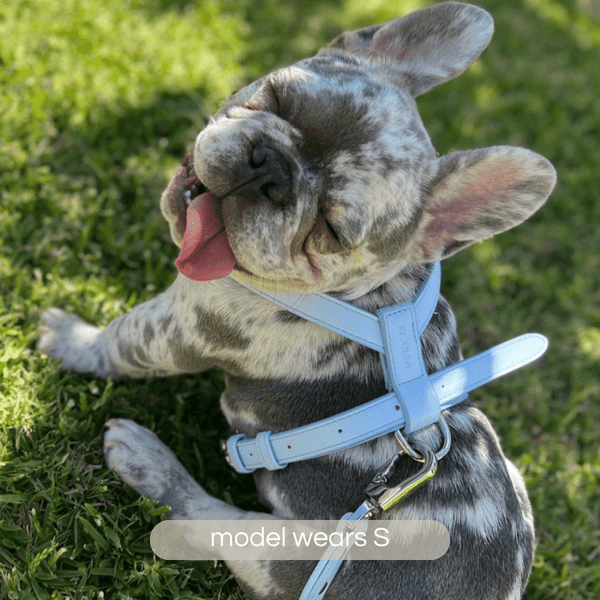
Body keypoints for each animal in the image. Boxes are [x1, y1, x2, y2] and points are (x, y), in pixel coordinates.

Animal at [38, 2, 556, 596]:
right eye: (279, 97)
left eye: (330, 229)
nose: (270, 169)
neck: (360, 297)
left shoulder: (178, 328)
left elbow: (116, 341)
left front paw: (70, 337)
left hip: (280, 547)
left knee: (205, 520)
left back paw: (149, 461)